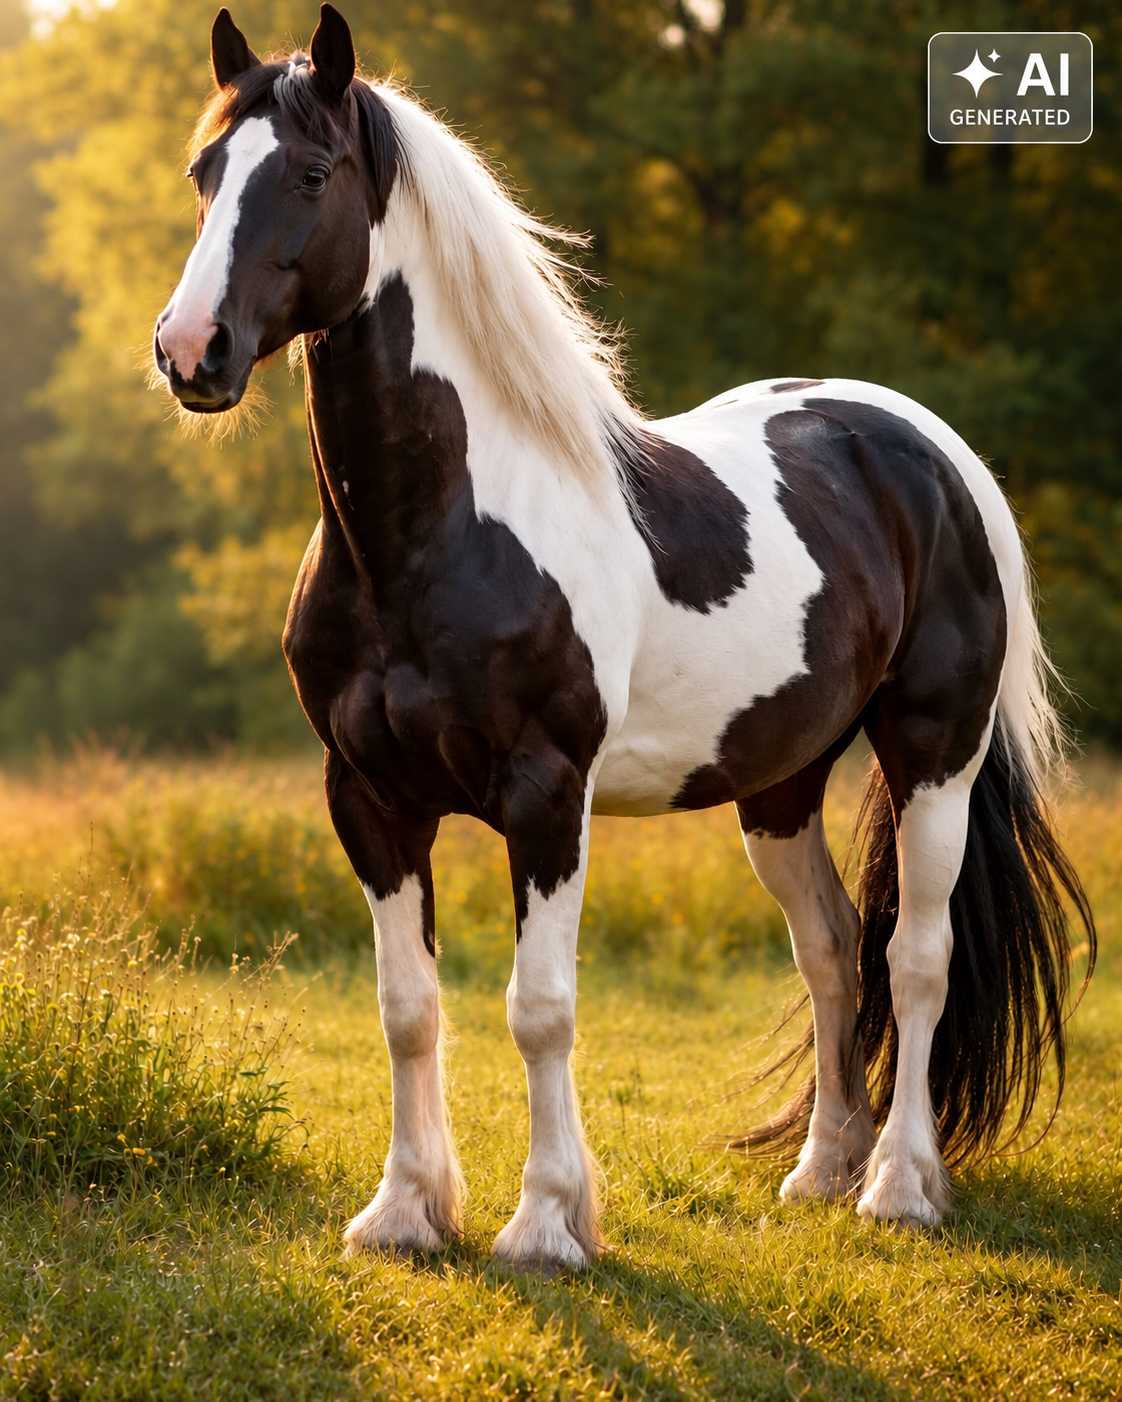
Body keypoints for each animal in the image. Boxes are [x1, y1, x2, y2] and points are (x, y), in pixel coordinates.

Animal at [152, 5, 1096, 1268]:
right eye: (205, 174)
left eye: (308, 172)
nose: (189, 349)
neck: (436, 530)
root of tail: (927, 449)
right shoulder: (368, 796)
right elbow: (406, 1009)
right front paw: (406, 1211)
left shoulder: (548, 791)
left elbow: (540, 1008)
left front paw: (547, 1221)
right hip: (779, 784)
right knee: (834, 948)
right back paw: (820, 1170)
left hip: (933, 756)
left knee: (917, 958)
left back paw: (898, 1185)